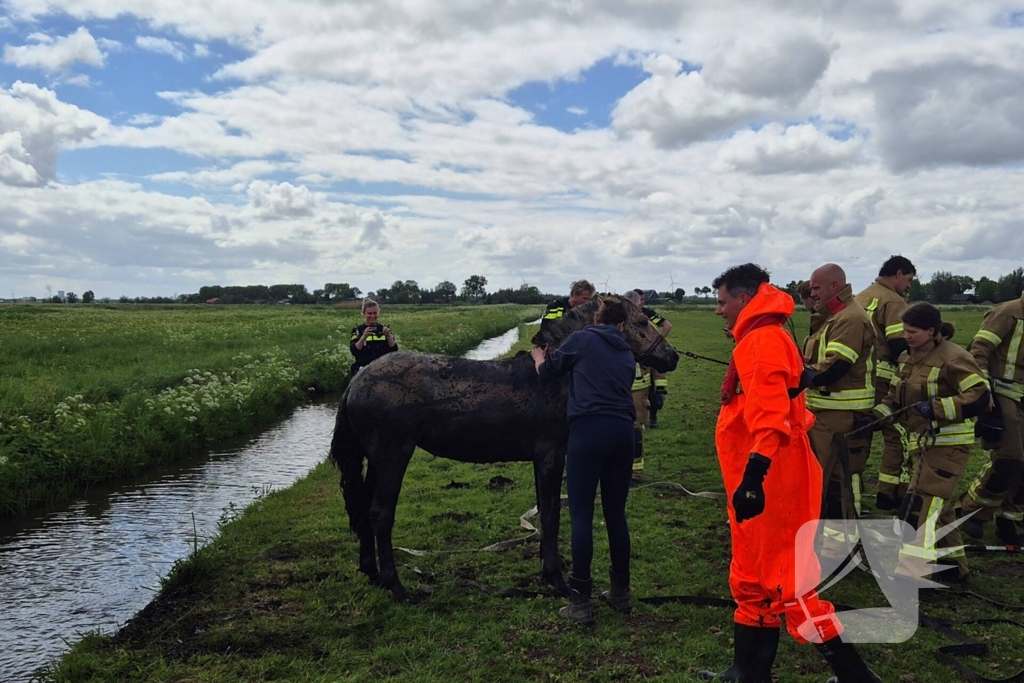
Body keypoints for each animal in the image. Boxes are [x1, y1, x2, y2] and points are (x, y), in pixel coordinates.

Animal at [330, 296, 679, 600]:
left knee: (364, 508)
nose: (672, 356)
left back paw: (372, 572)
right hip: (393, 456)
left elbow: (544, 511)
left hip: (376, 460)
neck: (554, 374)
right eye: (640, 322)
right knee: (380, 513)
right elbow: (551, 514)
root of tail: (355, 383)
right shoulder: (551, 457)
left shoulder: (542, 461)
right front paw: (557, 580)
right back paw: (396, 586)